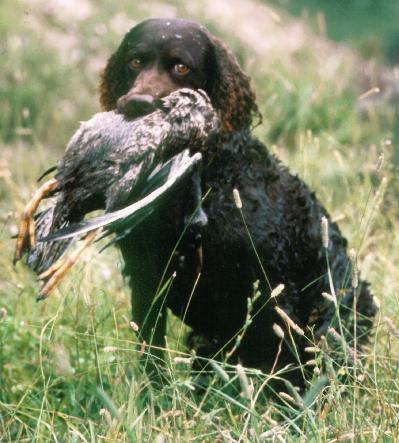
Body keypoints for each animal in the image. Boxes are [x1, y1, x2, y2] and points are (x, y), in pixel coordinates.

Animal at [98, 18, 376, 382]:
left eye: (181, 67)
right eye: (134, 61)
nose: (136, 104)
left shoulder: (271, 287)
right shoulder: (146, 277)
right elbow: (151, 354)